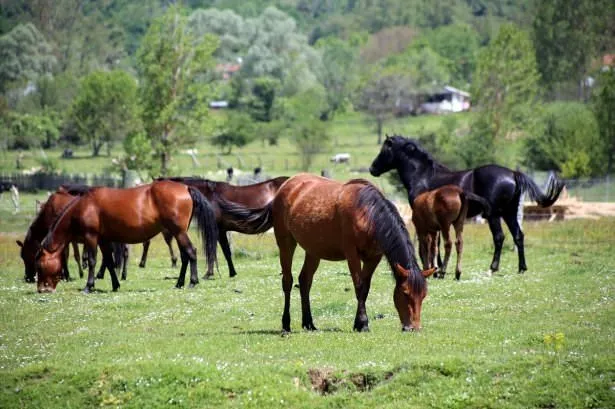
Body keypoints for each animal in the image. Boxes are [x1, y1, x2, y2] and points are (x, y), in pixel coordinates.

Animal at [35, 180, 219, 292]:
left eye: (39, 265)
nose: (42, 289)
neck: (85, 205)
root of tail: (186, 188)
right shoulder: (103, 239)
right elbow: (109, 262)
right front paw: (115, 285)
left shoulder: (91, 237)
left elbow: (94, 261)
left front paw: (89, 286)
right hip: (178, 232)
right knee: (185, 256)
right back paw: (179, 283)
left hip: (179, 232)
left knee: (191, 252)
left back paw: (192, 282)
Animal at [153, 175, 290, 278]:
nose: (166, 232)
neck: (209, 195)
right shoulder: (222, 231)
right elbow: (226, 252)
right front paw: (232, 273)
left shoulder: (216, 230)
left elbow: (214, 250)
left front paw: (209, 274)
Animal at [221, 174, 438, 334]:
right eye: (405, 293)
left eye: (423, 295)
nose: (413, 328)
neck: (367, 213)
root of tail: (284, 188)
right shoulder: (352, 254)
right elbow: (359, 287)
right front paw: (362, 323)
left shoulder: (373, 257)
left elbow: (365, 288)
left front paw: (359, 322)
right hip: (286, 243)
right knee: (288, 281)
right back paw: (286, 324)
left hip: (313, 251)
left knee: (305, 281)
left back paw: (309, 323)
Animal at [368, 135, 564, 274]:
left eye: (385, 149)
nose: (372, 168)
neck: (423, 176)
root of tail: (513, 174)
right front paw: (438, 267)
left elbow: (433, 243)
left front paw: (436, 268)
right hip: (509, 213)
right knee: (518, 236)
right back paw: (521, 268)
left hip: (494, 215)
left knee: (499, 237)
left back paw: (493, 267)